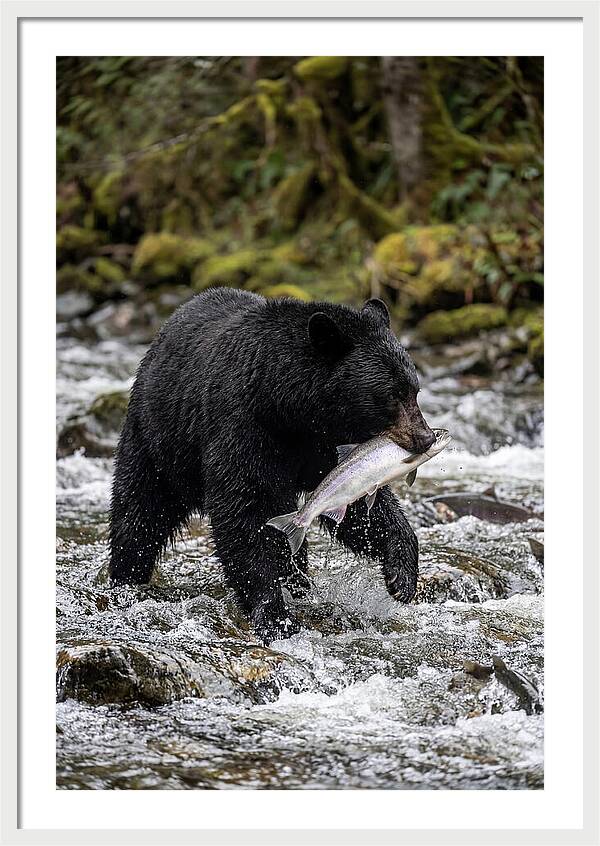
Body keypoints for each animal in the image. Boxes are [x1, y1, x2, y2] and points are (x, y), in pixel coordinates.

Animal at [109, 288, 435, 642]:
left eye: (414, 390)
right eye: (391, 395)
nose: (426, 438)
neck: (287, 407)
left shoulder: (326, 446)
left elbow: (357, 503)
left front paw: (401, 576)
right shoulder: (244, 427)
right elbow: (243, 512)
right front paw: (274, 615)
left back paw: (299, 582)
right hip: (159, 439)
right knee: (139, 511)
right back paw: (125, 579)